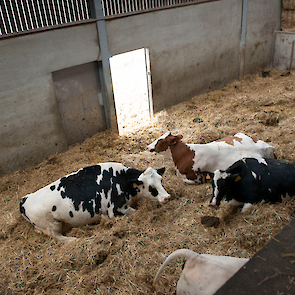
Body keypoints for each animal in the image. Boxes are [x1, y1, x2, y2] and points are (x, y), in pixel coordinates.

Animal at [19, 163, 170, 242]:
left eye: (161, 180)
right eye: (151, 187)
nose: (167, 197)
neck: (121, 180)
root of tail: (24, 200)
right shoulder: (114, 209)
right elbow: (133, 212)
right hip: (53, 222)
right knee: (57, 236)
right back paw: (74, 240)